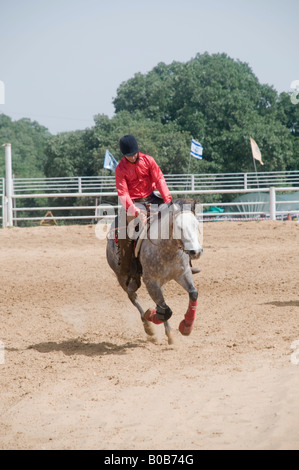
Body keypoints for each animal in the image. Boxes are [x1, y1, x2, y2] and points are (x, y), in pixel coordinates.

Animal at [106, 199, 204, 346]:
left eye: (196, 225)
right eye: (179, 227)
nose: (196, 252)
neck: (167, 249)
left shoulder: (183, 274)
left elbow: (193, 294)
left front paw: (186, 327)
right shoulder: (150, 282)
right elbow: (166, 311)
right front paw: (150, 315)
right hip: (122, 277)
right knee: (133, 296)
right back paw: (148, 326)